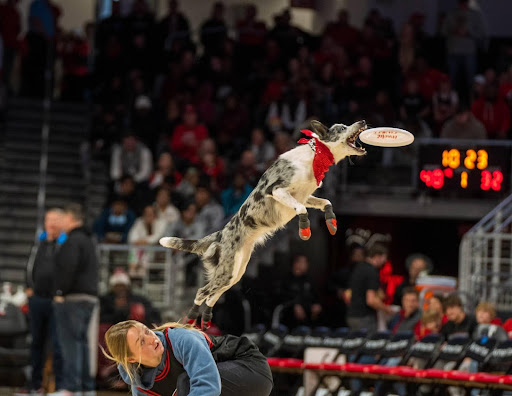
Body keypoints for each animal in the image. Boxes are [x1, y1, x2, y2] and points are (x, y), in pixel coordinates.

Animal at [160, 120, 368, 328]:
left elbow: (326, 202)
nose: (363, 122)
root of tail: (220, 234)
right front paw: (304, 229)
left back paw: (206, 319)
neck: (315, 156)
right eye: (342, 128)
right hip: (227, 271)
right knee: (202, 292)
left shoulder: (305, 196)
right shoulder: (277, 190)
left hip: (236, 272)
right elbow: (302, 209)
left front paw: (331, 222)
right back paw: (191, 317)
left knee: (212, 296)